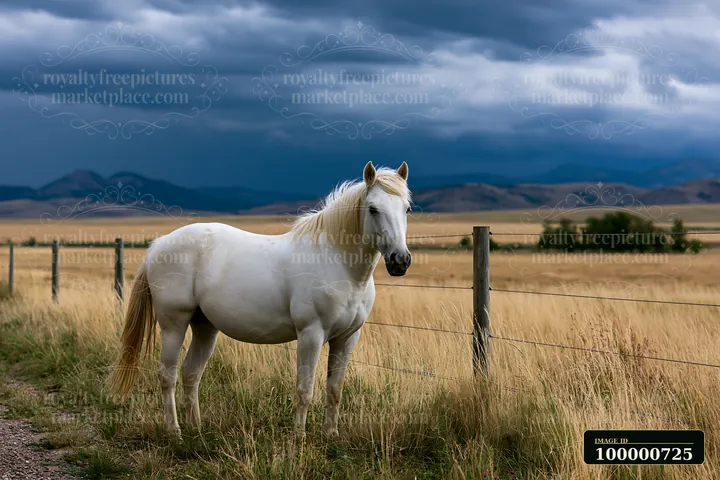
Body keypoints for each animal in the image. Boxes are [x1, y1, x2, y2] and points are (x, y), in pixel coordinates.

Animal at [108, 161, 412, 437]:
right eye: (373, 209)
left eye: (407, 209)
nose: (400, 260)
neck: (337, 261)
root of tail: (158, 246)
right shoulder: (311, 334)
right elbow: (305, 389)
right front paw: (299, 438)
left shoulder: (348, 338)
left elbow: (334, 389)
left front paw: (331, 436)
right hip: (174, 325)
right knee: (167, 376)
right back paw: (175, 431)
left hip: (205, 327)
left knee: (191, 373)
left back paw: (196, 428)